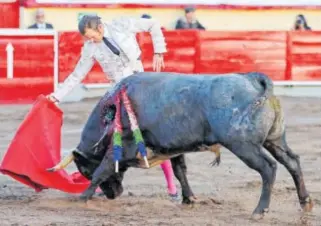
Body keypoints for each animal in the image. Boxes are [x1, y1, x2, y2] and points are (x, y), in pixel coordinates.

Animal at [48, 72, 312, 219]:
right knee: (292, 162)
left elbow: (102, 170)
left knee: (268, 168)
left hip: (243, 145)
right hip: (275, 139)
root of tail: (252, 80)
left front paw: (82, 197)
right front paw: (189, 199)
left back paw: (260, 211)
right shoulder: (173, 148)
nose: (113, 196)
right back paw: (305, 202)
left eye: (84, 170)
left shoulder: (122, 147)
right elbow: (179, 171)